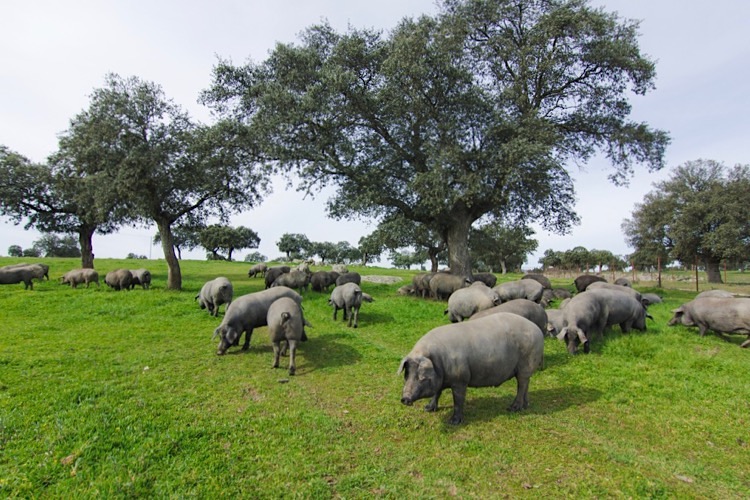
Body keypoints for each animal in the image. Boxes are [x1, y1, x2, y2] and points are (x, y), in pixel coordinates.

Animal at [400, 312, 548, 426]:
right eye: (407, 374)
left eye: (422, 377)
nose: (405, 398)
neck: (439, 361)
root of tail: (537, 330)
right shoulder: (441, 379)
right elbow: (437, 393)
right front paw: (427, 409)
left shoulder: (461, 379)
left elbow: (458, 400)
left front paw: (453, 423)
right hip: (526, 369)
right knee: (526, 384)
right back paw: (525, 405)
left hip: (526, 363)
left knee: (521, 385)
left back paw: (512, 408)